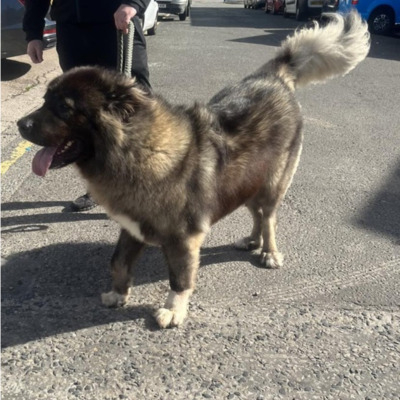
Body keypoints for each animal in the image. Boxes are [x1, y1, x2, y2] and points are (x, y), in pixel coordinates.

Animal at [17, 12, 370, 328]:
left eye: (64, 107)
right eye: (45, 99)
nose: (20, 124)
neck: (136, 148)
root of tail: (275, 77)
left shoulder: (182, 237)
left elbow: (179, 278)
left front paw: (173, 310)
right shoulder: (133, 226)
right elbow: (117, 261)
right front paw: (118, 294)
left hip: (272, 183)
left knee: (268, 218)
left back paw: (269, 252)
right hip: (246, 183)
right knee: (257, 215)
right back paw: (251, 240)